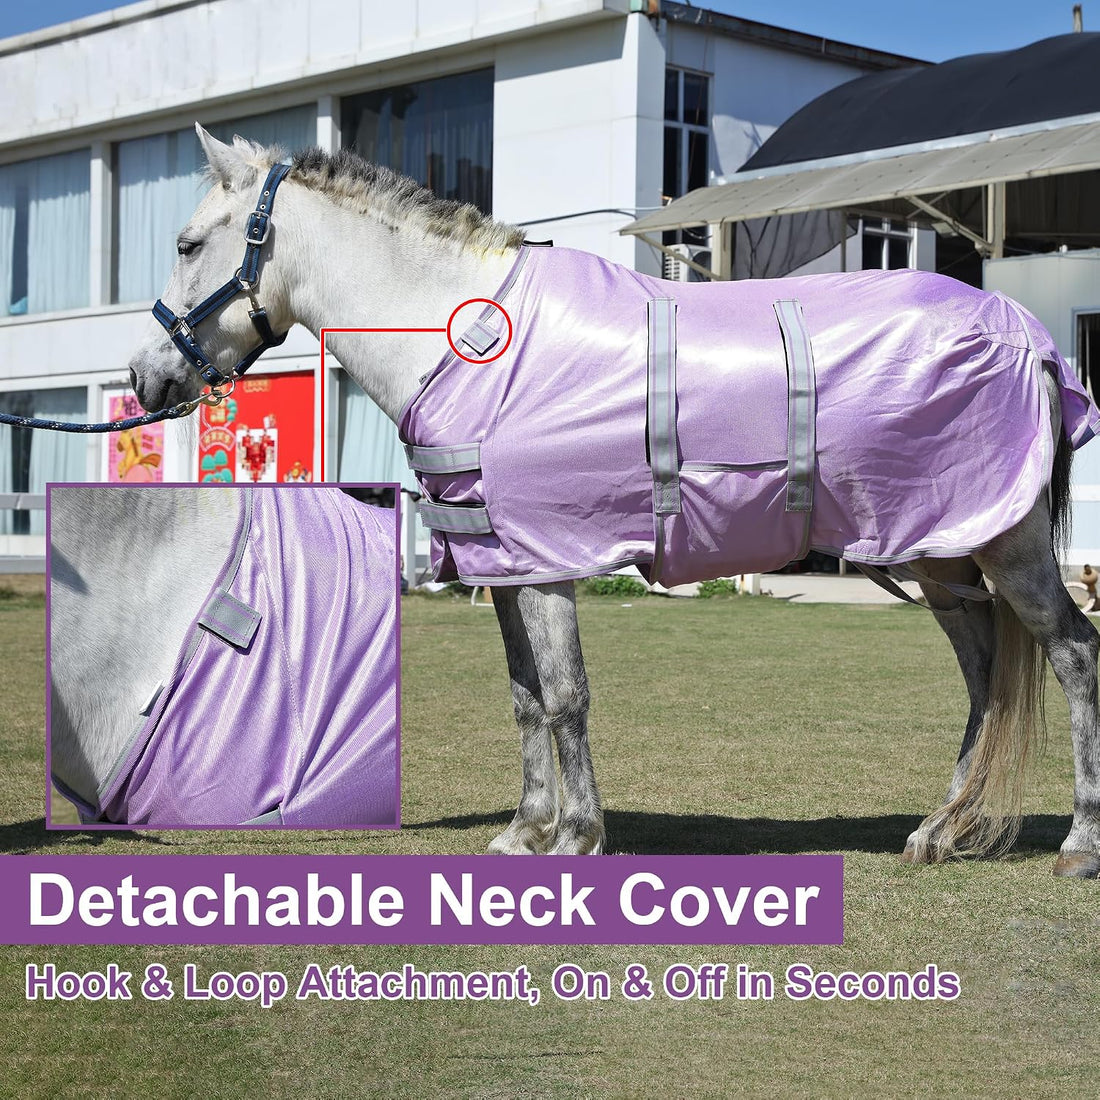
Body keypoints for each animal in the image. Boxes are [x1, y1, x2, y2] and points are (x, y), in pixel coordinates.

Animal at [125, 125, 1100, 875]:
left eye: (186, 244)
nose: (142, 378)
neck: (471, 335)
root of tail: (1029, 336)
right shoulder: (506, 562)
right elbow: (525, 695)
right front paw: (525, 831)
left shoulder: (551, 562)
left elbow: (565, 695)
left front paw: (578, 836)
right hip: (943, 555)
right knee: (985, 674)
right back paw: (944, 829)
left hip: (1003, 548)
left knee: (1072, 653)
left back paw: (1077, 844)